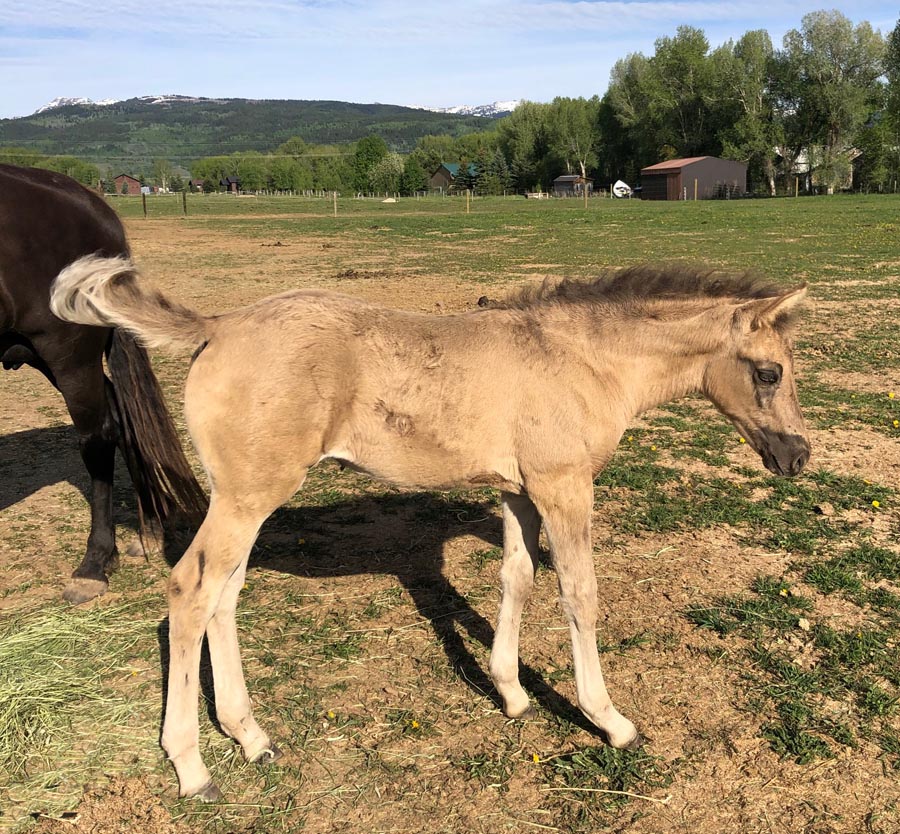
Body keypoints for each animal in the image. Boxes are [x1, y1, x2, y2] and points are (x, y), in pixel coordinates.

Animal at [0, 165, 206, 604]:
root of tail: (94, 206)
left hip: (67, 352)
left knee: (99, 437)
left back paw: (94, 562)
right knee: (120, 414)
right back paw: (148, 530)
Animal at [51, 255, 810, 800]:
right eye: (769, 372)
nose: (797, 456)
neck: (580, 360)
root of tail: (220, 324)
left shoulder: (517, 491)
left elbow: (517, 577)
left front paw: (510, 693)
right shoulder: (564, 487)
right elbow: (579, 594)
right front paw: (611, 721)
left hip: (242, 499)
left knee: (223, 598)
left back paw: (250, 736)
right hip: (248, 498)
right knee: (190, 592)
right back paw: (192, 767)